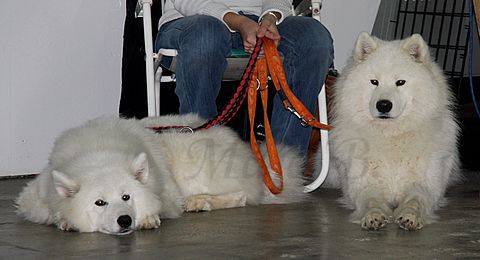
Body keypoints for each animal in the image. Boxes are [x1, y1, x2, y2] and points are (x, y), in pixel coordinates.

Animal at [15, 115, 308, 235]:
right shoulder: (35, 198)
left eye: (126, 197)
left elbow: (159, 204)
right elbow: (50, 210)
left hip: (195, 166)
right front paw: (65, 220)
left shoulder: (166, 191)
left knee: (243, 195)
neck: (99, 151)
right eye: (100, 203)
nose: (124, 220)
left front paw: (148, 218)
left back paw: (199, 202)